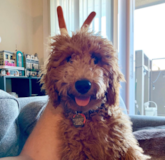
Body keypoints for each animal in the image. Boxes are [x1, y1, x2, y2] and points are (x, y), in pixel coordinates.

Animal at [41, 5, 150, 160]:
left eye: (96, 59)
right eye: (69, 59)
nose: (82, 85)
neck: (90, 115)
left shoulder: (126, 144)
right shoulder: (77, 152)